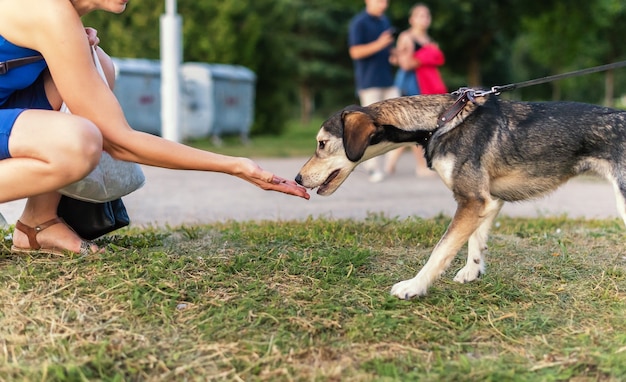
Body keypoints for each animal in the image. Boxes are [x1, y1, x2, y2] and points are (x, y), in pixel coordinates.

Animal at [294, 92, 624, 298]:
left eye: (322, 144)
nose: (297, 178)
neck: (441, 121)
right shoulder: (486, 200)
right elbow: (475, 241)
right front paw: (472, 272)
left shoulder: (471, 200)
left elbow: (441, 250)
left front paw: (415, 286)